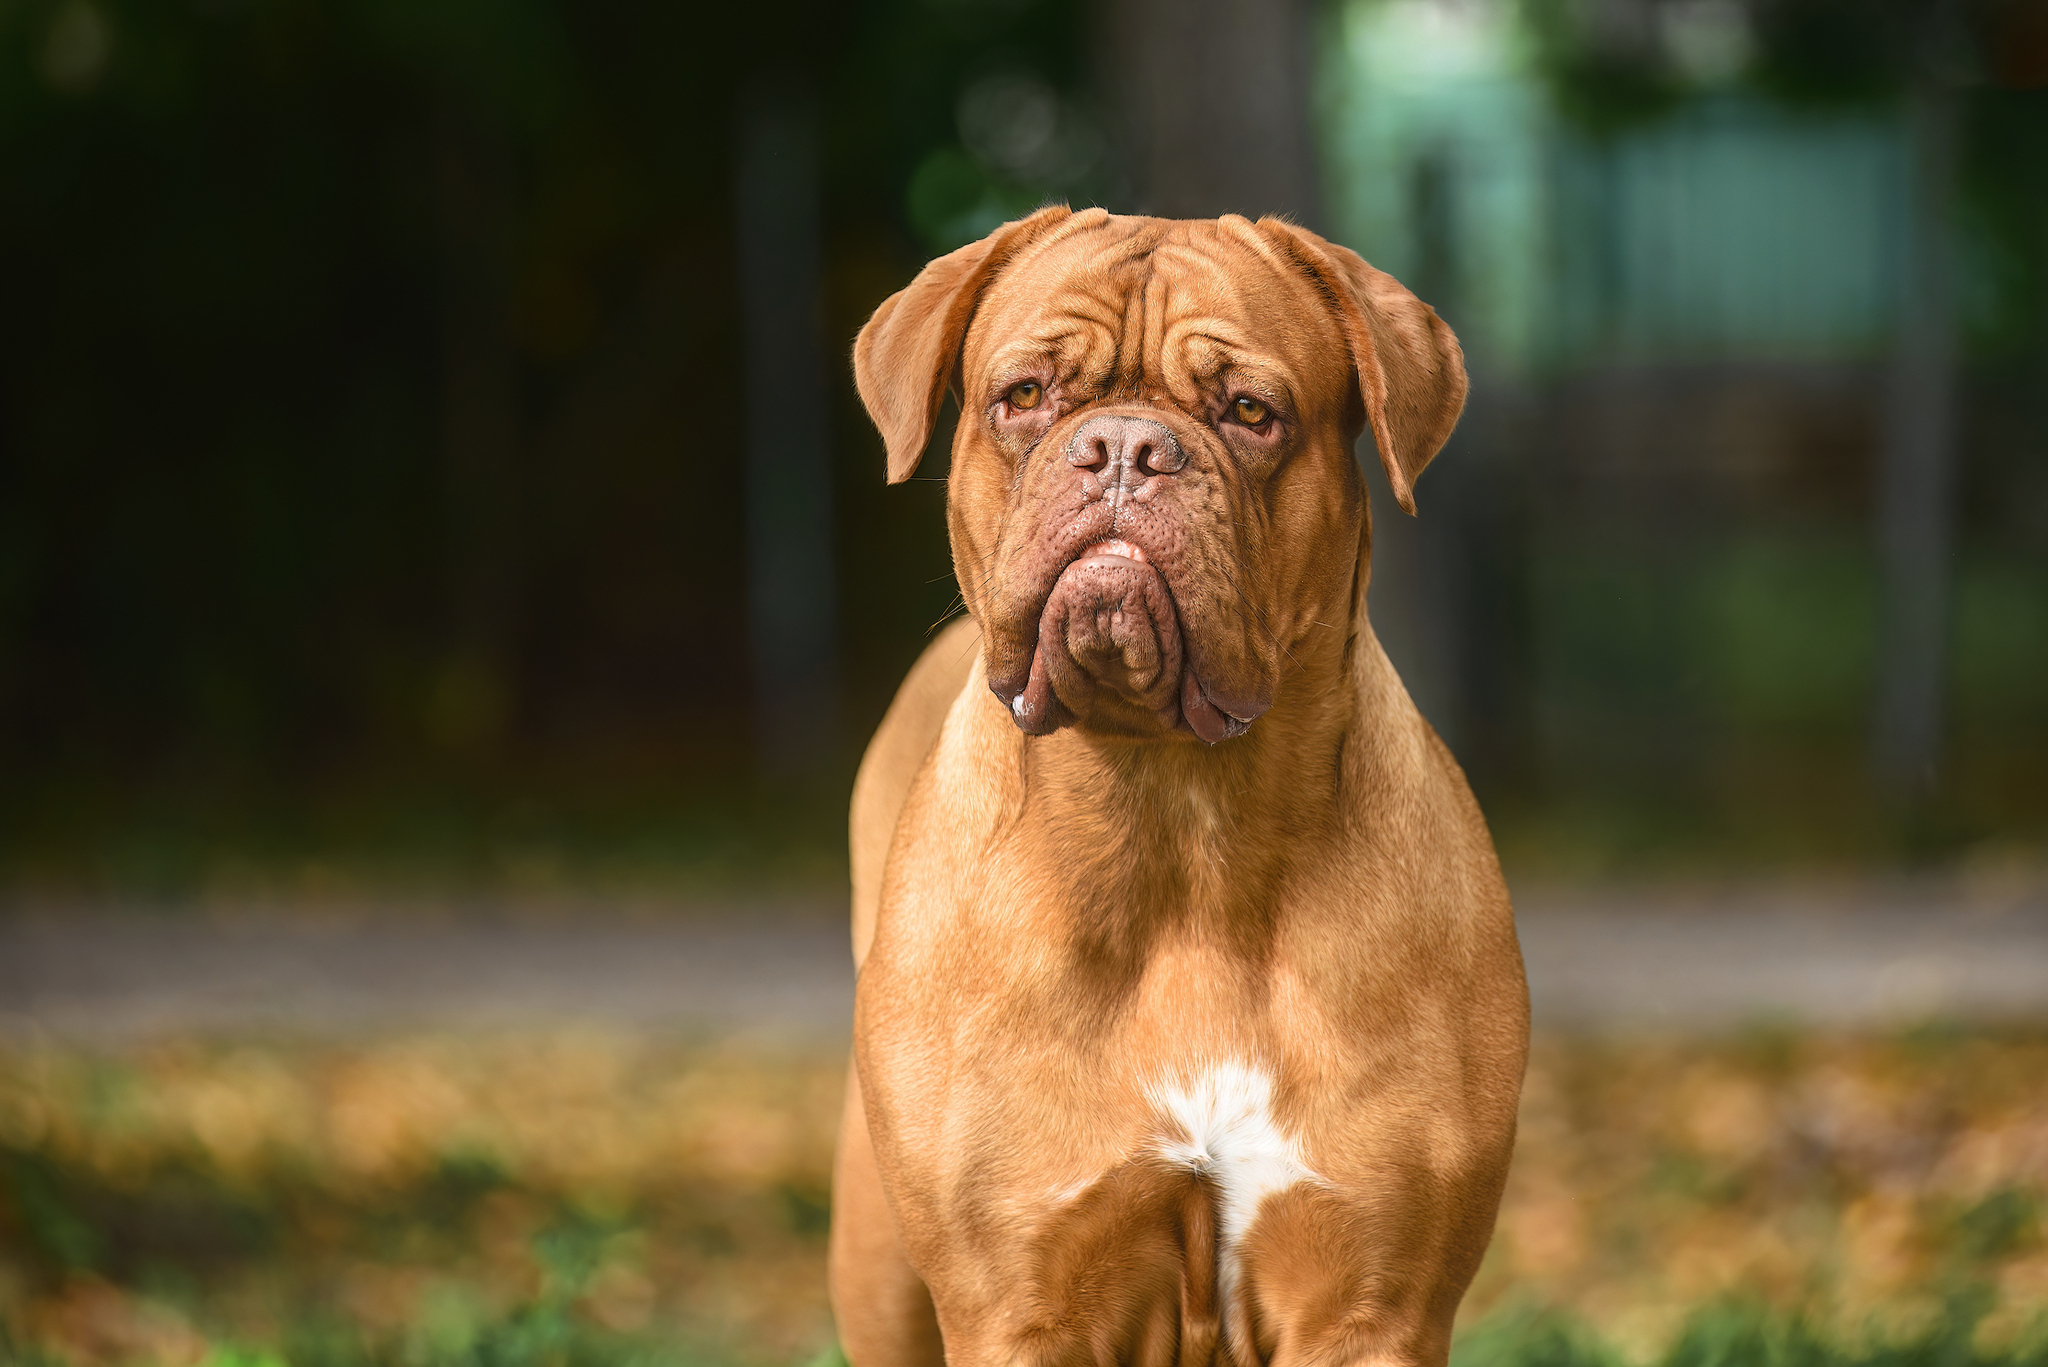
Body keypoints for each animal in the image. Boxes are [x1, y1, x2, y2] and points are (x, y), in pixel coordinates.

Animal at [827, 209, 1523, 1367]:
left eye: (1249, 412)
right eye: (1023, 395)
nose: (1123, 447)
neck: (1178, 814)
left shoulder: (1370, 1302)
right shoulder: (1021, 1302)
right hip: (879, 1268)